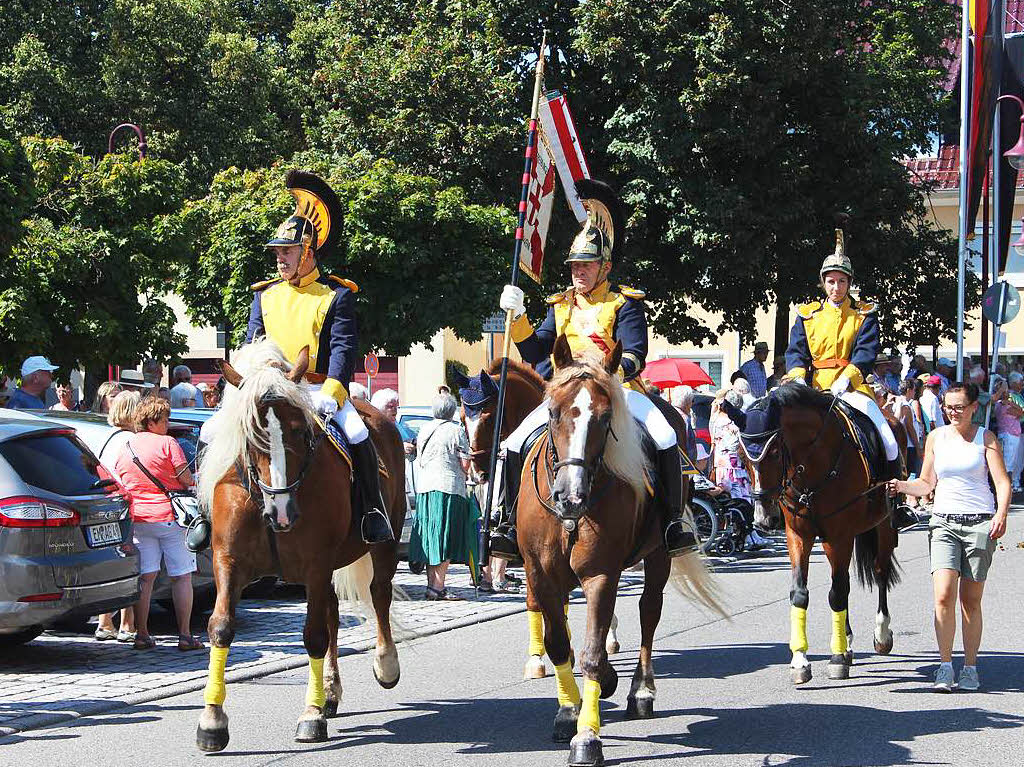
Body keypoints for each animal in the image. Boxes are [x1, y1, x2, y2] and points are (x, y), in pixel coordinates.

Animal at [193, 339, 405, 749]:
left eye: (297, 430)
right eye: (251, 434)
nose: (282, 512)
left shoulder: (316, 563)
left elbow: (314, 635)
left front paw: (310, 715)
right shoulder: (228, 561)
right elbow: (221, 627)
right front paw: (212, 720)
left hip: (382, 545)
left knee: (378, 593)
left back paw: (385, 665)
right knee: (335, 613)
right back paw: (330, 692)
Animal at [516, 335, 724, 765]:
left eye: (604, 416)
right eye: (553, 411)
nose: (570, 497)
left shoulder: (600, 573)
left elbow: (593, 653)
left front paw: (587, 737)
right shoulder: (541, 574)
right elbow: (559, 644)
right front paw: (568, 713)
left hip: (658, 557)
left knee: (648, 611)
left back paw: (640, 691)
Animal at [741, 385, 901, 684]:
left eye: (775, 452)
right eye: (743, 456)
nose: (764, 519)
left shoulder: (840, 535)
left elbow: (837, 593)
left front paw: (836, 659)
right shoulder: (799, 535)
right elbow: (801, 593)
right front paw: (800, 661)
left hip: (883, 525)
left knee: (880, 571)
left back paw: (882, 635)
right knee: (846, 581)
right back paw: (847, 643)